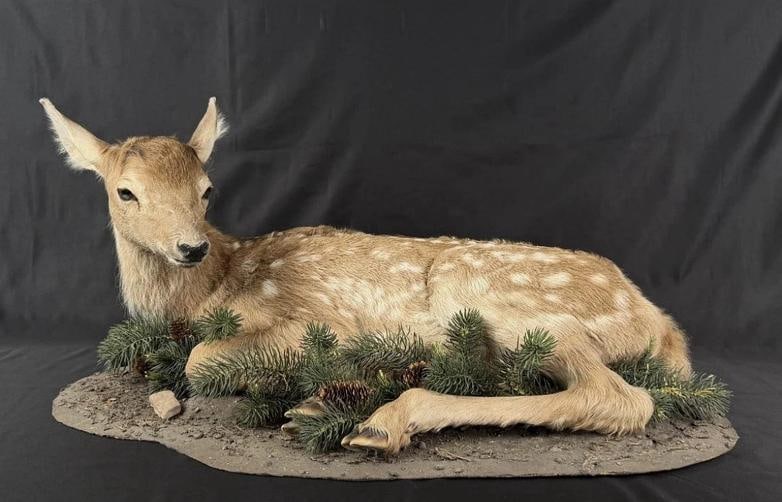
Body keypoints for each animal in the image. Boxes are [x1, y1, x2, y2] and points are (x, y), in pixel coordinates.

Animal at [40, 97, 692, 455]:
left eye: (206, 189)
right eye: (125, 192)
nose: (190, 247)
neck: (211, 289)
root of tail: (655, 321)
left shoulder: (317, 316)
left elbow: (201, 362)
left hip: (495, 294)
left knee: (618, 397)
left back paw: (379, 419)